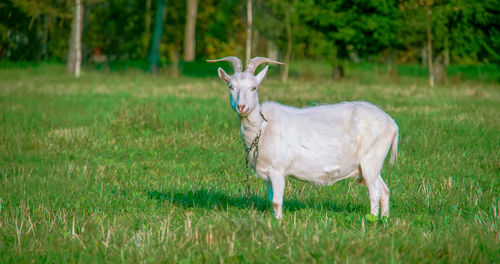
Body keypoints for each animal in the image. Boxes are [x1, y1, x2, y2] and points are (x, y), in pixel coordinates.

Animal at [207, 55, 398, 219]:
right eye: (231, 87)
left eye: (254, 87)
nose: (241, 107)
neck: (263, 127)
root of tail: (392, 124)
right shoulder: (268, 174)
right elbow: (271, 199)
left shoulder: (278, 170)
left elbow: (276, 201)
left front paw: (279, 223)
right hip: (371, 165)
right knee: (385, 190)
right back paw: (384, 219)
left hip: (371, 160)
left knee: (375, 192)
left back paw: (371, 219)